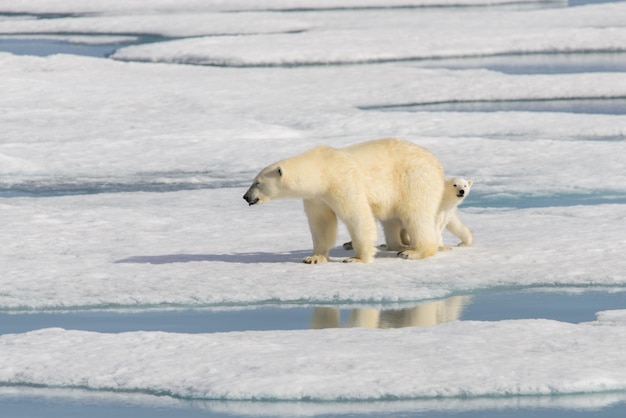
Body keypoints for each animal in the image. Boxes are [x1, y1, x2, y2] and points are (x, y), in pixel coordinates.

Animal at [241, 137, 442, 262]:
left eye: (257, 182)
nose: (245, 196)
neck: (322, 170)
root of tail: (435, 161)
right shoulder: (316, 197)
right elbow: (322, 222)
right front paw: (314, 257)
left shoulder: (342, 181)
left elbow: (357, 215)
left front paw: (357, 258)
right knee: (392, 220)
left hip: (413, 180)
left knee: (415, 215)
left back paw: (412, 252)